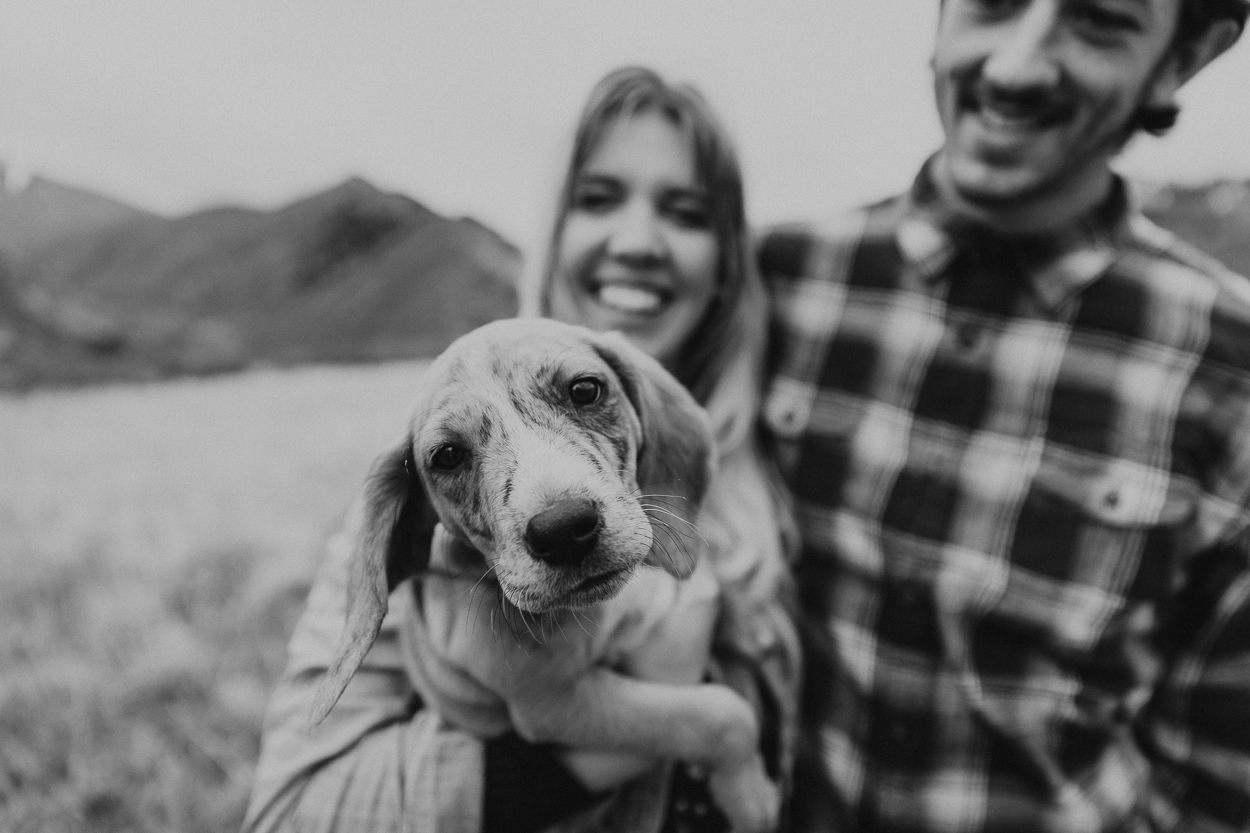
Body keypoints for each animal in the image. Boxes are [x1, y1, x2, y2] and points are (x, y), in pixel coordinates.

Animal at [315, 317, 780, 830]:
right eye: (448, 456)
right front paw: (750, 796)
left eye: (585, 389)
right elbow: (719, 714)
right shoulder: (555, 702)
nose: (563, 530)